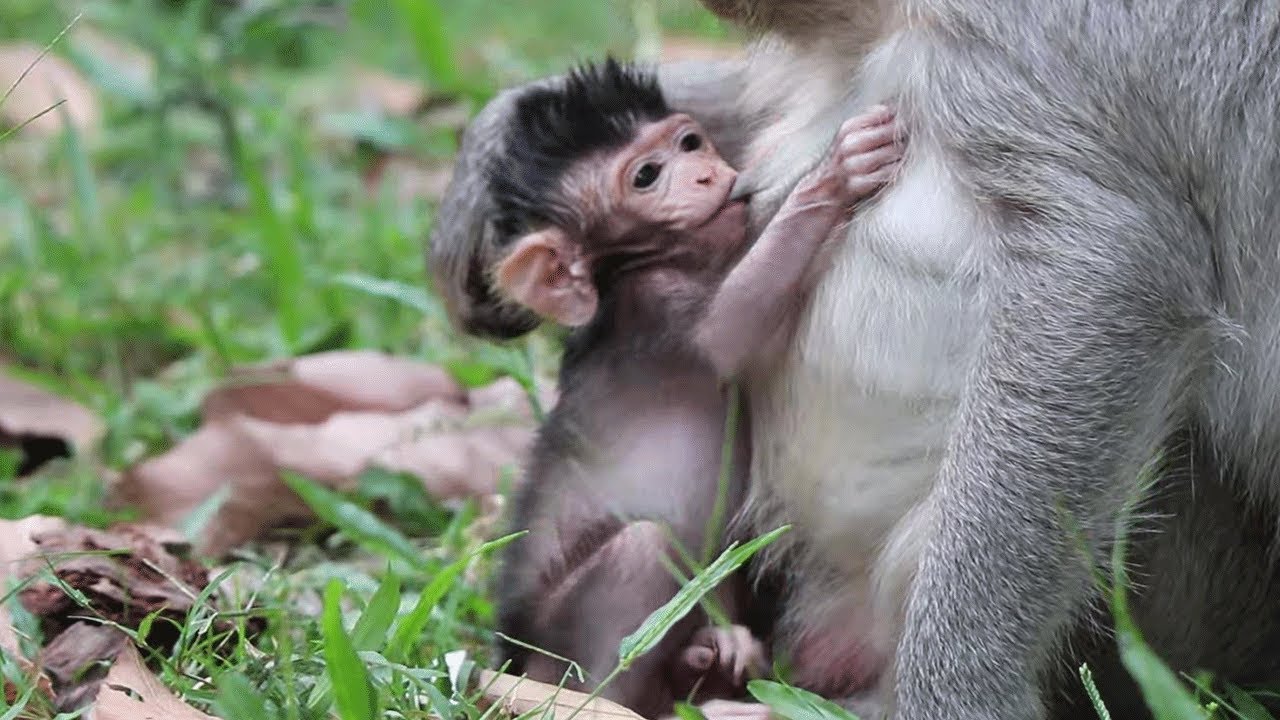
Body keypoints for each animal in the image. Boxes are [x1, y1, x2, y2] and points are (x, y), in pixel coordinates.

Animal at [482, 59, 904, 719]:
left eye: (689, 143)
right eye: (646, 177)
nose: (708, 173)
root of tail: (515, 654)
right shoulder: (653, 308)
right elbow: (730, 331)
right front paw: (835, 173)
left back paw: (711, 658)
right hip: (556, 646)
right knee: (641, 550)